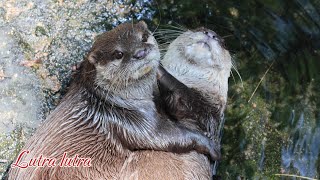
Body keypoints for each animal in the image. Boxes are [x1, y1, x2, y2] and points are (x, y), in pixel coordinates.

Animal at [7, 21, 219, 179]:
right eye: (119, 53)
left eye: (144, 38)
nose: (140, 53)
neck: (112, 101)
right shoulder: (131, 120)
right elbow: (167, 136)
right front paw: (210, 146)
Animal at [119, 26, 231, 179]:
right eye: (199, 28)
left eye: (223, 43)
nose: (211, 33)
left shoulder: (209, 113)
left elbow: (184, 100)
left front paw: (158, 67)